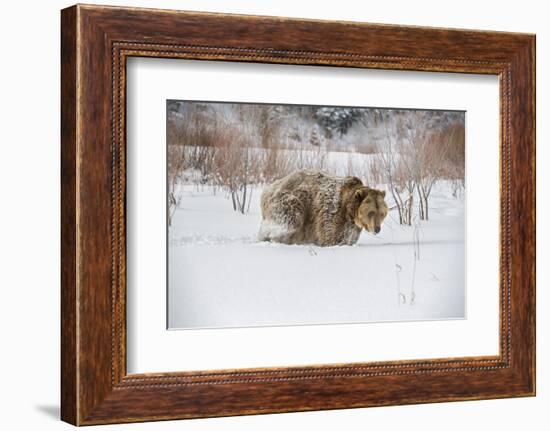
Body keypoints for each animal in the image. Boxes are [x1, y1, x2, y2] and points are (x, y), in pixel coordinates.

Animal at [260, 170, 390, 248]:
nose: (377, 228)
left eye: (382, 213)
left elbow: (348, 238)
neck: (350, 212)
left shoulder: (351, 228)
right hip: (289, 200)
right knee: (290, 219)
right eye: (371, 212)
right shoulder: (332, 214)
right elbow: (331, 237)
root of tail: (268, 188)